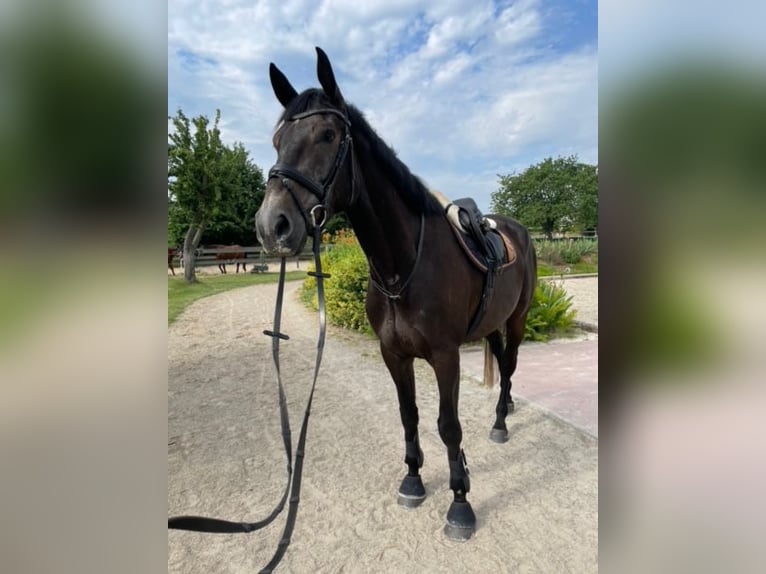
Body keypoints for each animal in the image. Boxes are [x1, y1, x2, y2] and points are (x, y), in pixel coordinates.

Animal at [255, 47, 536, 544]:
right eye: (276, 140)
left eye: (328, 134)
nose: (273, 226)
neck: (403, 265)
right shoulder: (393, 354)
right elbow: (410, 416)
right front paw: (413, 480)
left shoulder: (445, 356)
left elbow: (448, 426)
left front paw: (460, 504)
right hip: (491, 325)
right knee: (502, 361)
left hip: (518, 320)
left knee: (509, 367)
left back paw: (501, 422)